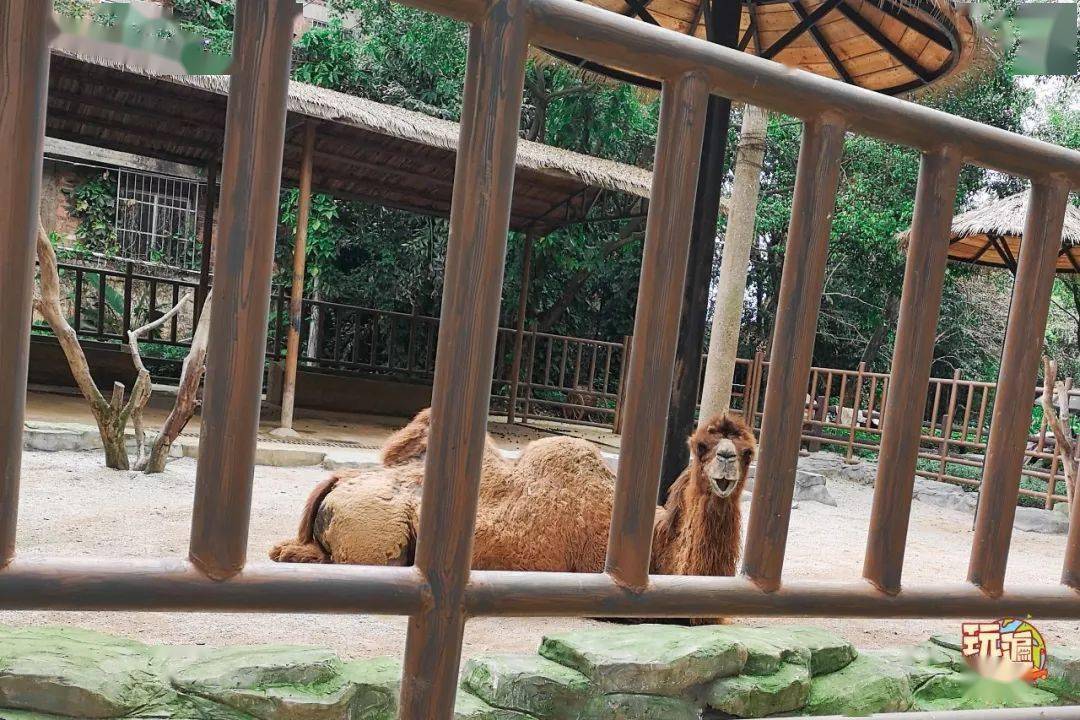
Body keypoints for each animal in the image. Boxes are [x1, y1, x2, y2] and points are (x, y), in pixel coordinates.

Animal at [272, 408, 751, 582]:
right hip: (376, 540)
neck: (654, 546)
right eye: (700, 446)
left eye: (749, 450)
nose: (727, 462)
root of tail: (336, 483)